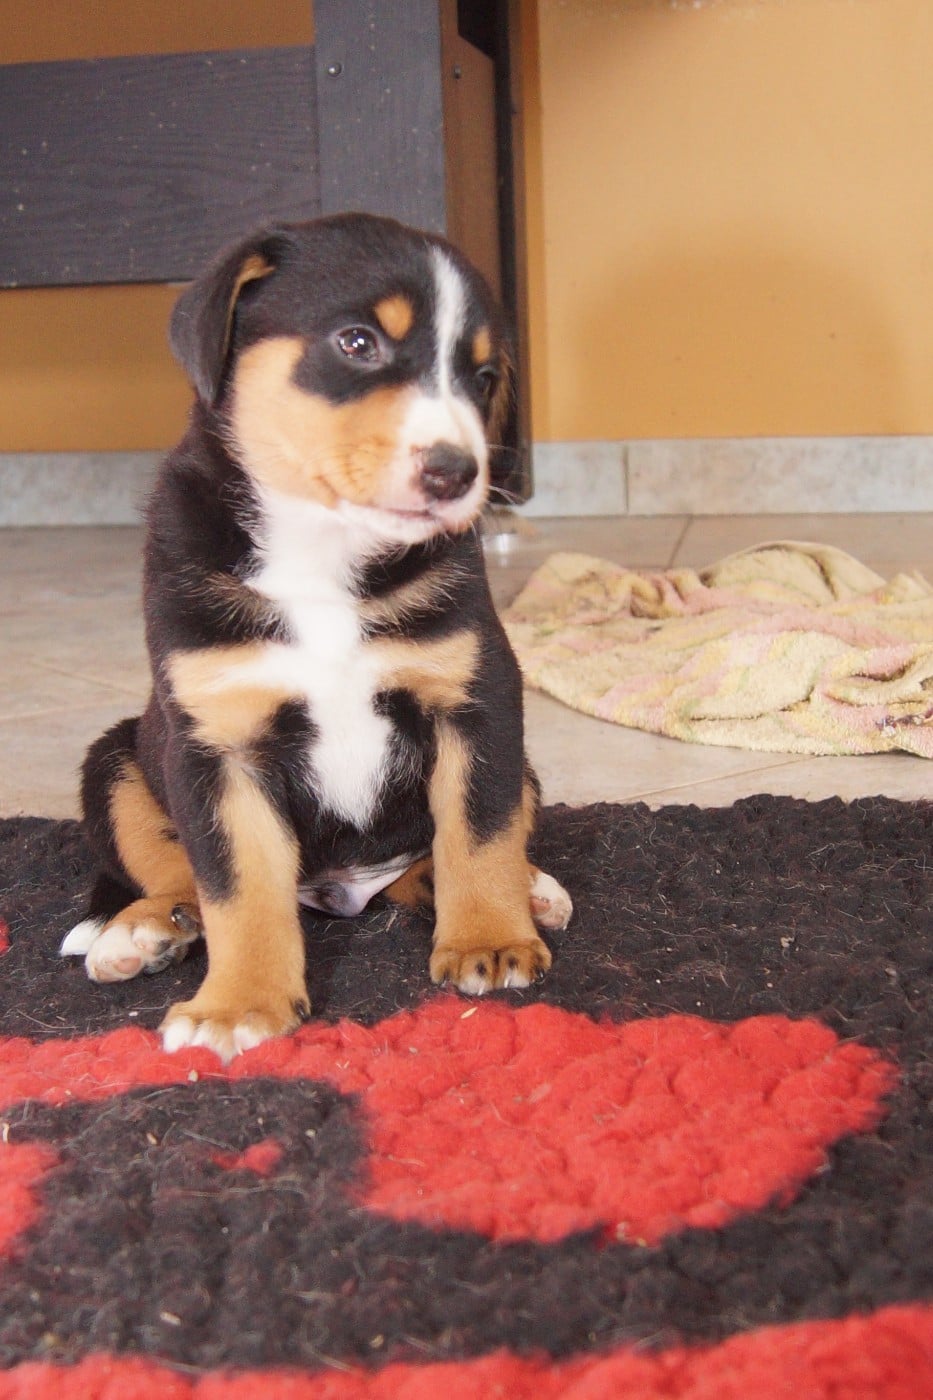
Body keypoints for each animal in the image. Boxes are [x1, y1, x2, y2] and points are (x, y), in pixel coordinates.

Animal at [60, 212, 572, 1061]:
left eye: (481, 377)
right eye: (356, 342)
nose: (456, 473)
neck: (322, 551)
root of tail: (341, 891)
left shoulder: (477, 700)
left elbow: (479, 830)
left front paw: (489, 939)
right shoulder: (217, 744)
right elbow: (236, 886)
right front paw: (238, 1004)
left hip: (518, 764)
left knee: (440, 853)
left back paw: (521, 891)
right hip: (120, 757)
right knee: (172, 873)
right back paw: (142, 930)